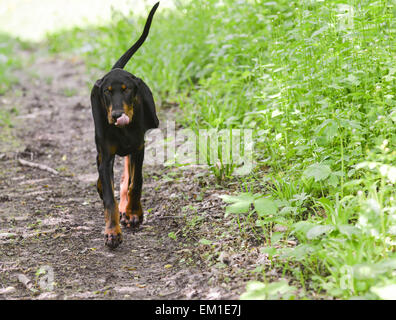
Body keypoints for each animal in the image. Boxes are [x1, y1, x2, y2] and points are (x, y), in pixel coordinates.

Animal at [91, 2, 159, 248]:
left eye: (126, 90)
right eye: (107, 92)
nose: (117, 115)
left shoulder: (139, 146)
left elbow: (136, 181)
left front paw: (133, 212)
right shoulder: (107, 155)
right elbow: (109, 198)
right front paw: (113, 231)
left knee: (128, 172)